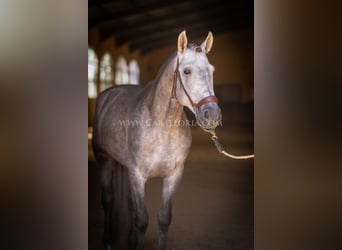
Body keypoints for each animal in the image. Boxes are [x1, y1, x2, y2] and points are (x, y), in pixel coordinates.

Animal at [93, 30, 222, 250]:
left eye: (211, 70)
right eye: (186, 71)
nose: (211, 115)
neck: (161, 127)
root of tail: (109, 93)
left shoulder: (173, 175)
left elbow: (163, 218)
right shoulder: (137, 175)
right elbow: (141, 220)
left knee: (128, 202)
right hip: (105, 161)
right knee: (108, 200)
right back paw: (108, 242)